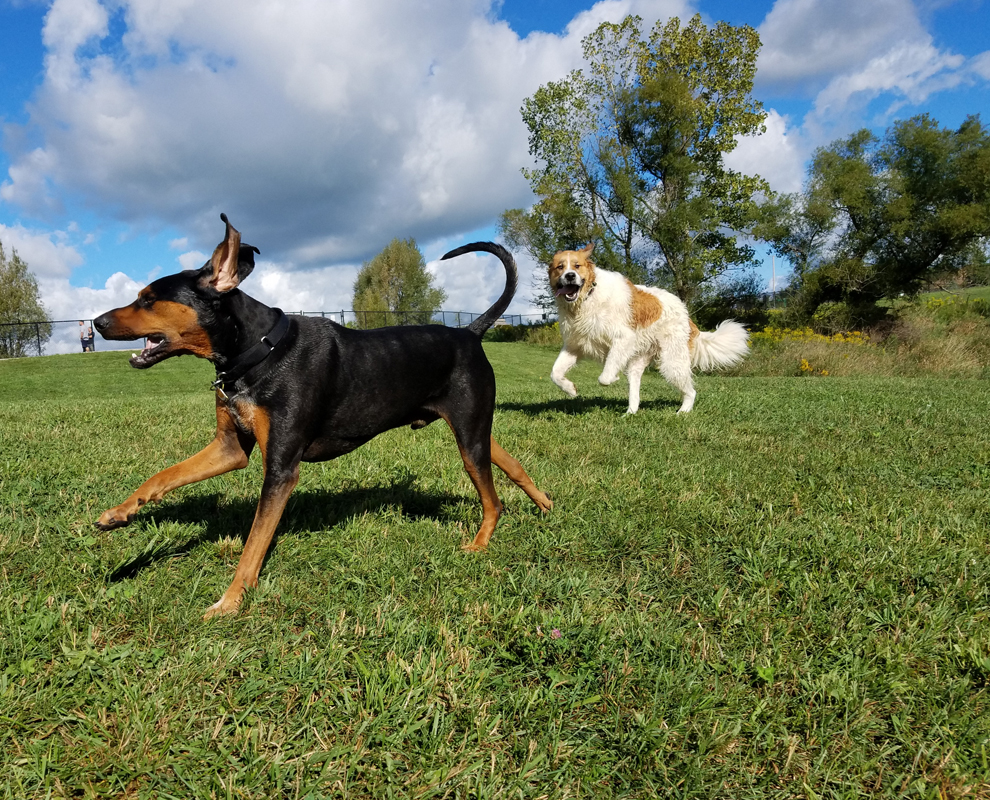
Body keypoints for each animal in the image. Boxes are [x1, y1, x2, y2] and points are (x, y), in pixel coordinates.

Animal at [94, 214, 556, 620]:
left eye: (149, 299)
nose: (97, 321)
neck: (259, 352)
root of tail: (469, 332)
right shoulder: (230, 449)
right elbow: (162, 476)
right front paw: (119, 513)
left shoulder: (281, 469)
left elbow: (254, 544)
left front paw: (230, 601)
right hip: (476, 431)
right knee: (513, 467)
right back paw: (546, 506)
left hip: (469, 440)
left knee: (493, 502)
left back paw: (479, 545)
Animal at [548, 244, 748, 412]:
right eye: (560, 267)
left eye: (577, 266)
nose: (570, 276)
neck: (587, 298)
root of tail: (687, 315)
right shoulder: (574, 346)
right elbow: (555, 373)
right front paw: (570, 390)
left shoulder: (623, 339)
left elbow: (604, 377)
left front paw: (613, 378)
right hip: (637, 364)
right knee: (636, 395)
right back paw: (630, 413)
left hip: (672, 363)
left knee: (691, 392)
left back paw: (682, 412)